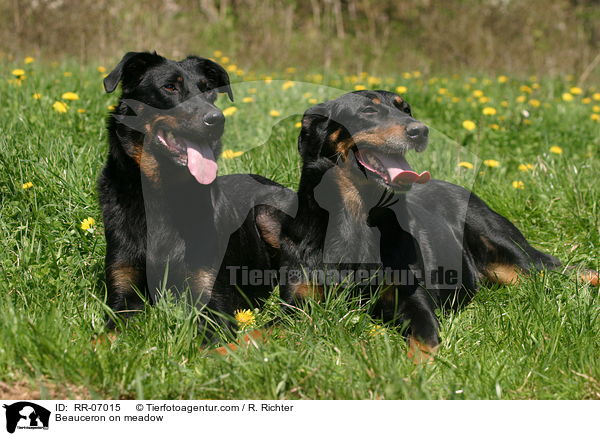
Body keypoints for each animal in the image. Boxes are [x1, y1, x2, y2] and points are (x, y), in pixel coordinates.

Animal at [98, 50, 292, 338]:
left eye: (208, 90)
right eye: (169, 87)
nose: (217, 120)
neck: (162, 193)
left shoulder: (212, 299)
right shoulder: (122, 293)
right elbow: (106, 336)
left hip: (268, 212)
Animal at [266, 89, 596, 362]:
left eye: (406, 109)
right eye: (368, 111)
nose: (420, 131)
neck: (356, 217)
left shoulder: (412, 300)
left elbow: (423, 340)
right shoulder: (295, 305)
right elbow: (265, 329)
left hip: (513, 252)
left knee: (566, 269)